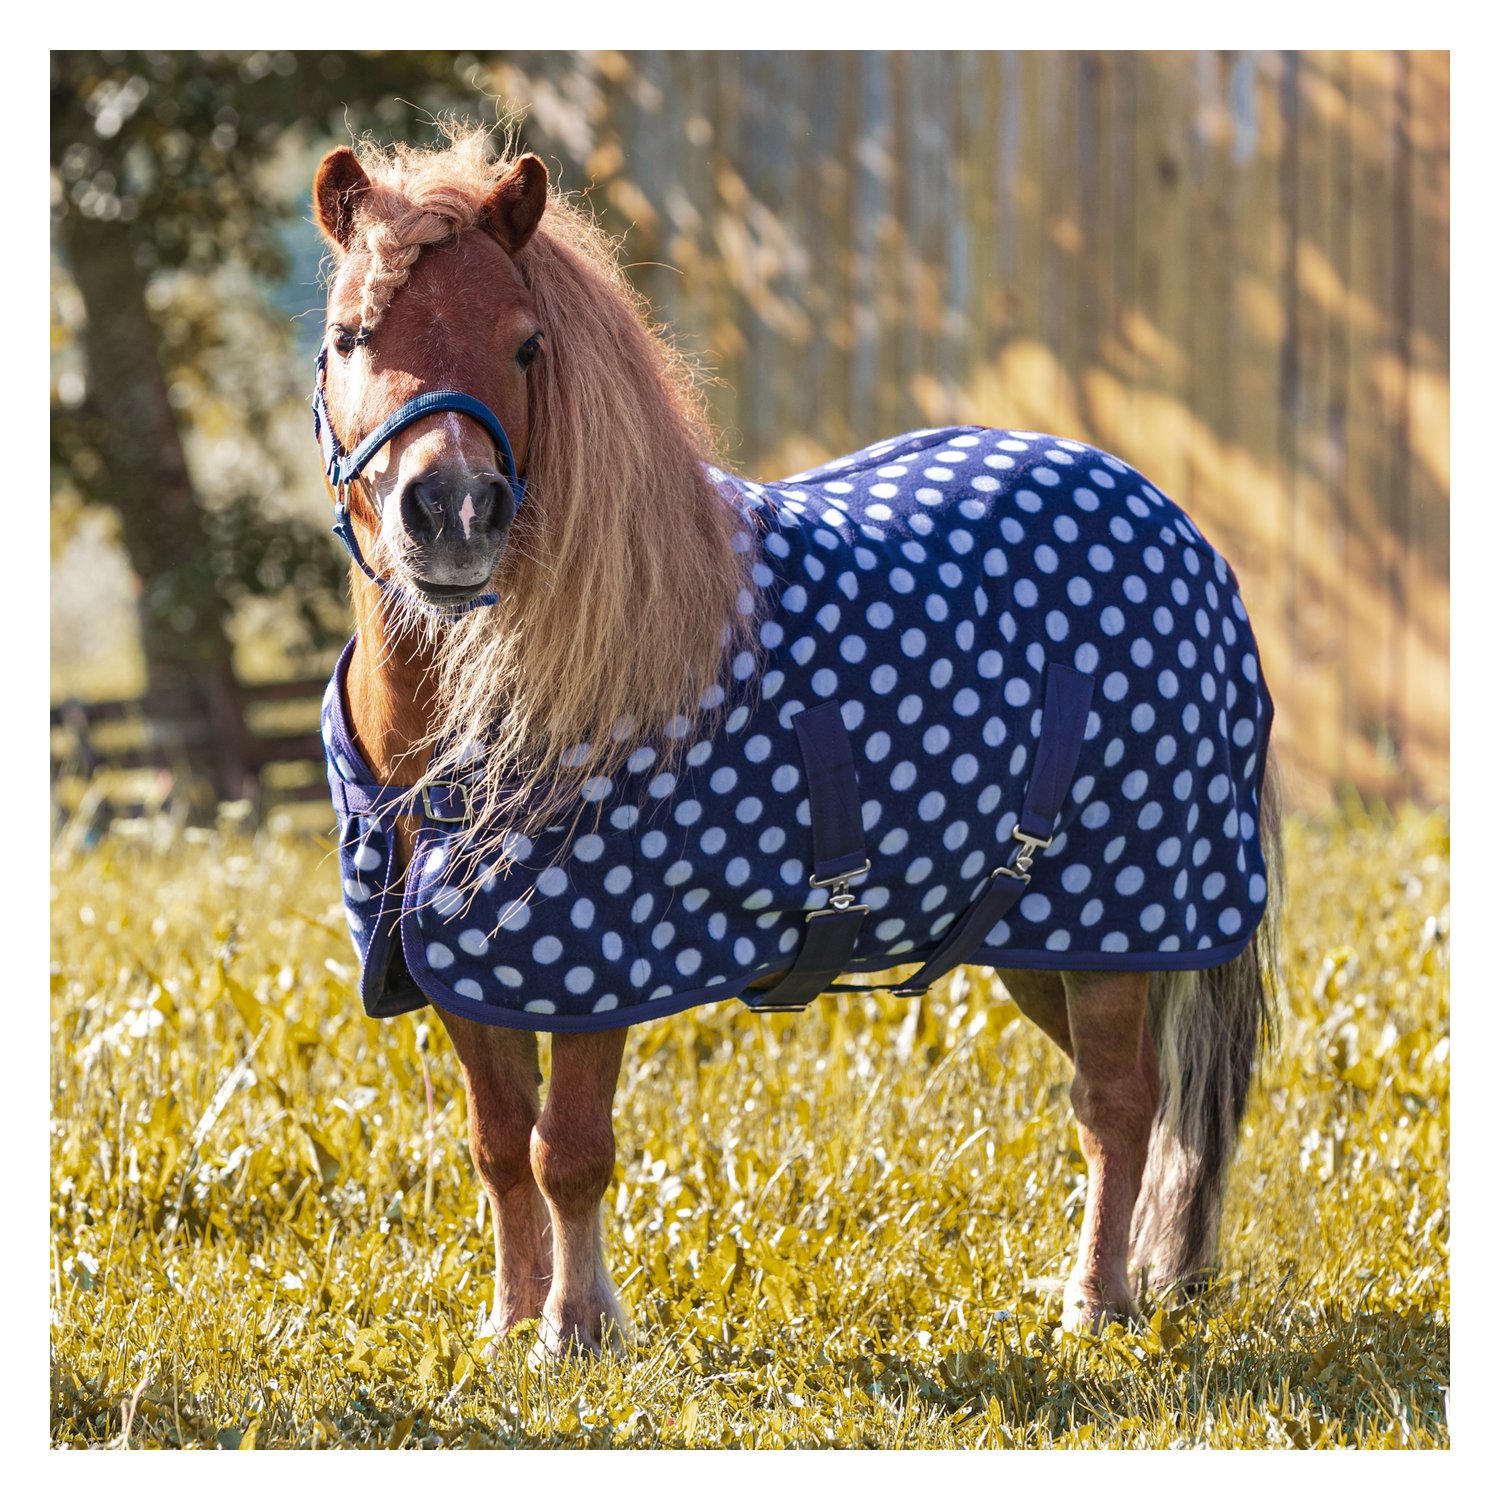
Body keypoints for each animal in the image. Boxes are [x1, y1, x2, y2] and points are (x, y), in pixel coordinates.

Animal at [309, 127, 1282, 1362]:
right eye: (352, 335)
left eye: (525, 344)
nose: (450, 513)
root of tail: (1174, 524)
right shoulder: (462, 972)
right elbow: (497, 1147)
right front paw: (510, 1322)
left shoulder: (589, 970)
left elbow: (566, 1151)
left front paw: (578, 1332)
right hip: (1049, 937)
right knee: (1141, 1098)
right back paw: (1146, 1277)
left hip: (1122, 913)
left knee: (1118, 1104)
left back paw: (1094, 1305)